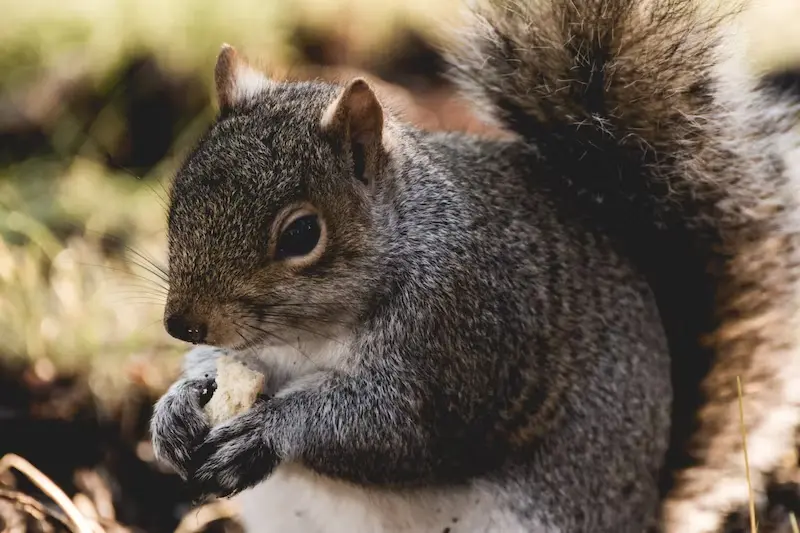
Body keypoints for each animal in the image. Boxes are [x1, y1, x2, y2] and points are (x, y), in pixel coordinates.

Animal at [148, 1, 800, 532]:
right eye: (179, 195)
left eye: (303, 233)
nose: (182, 324)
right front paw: (176, 407)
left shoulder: (464, 336)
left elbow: (394, 430)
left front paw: (271, 431)